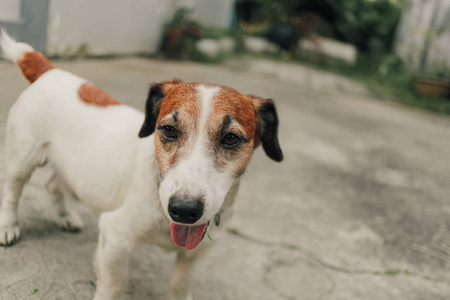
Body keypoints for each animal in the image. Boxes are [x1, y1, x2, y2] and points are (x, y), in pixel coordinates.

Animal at [0, 30, 282, 300]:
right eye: (169, 130)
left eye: (230, 138)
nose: (184, 210)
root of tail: (49, 70)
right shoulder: (114, 237)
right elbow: (114, 285)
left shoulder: (196, 254)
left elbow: (180, 285)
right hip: (22, 158)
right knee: (12, 191)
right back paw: (8, 226)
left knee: (53, 184)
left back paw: (65, 216)